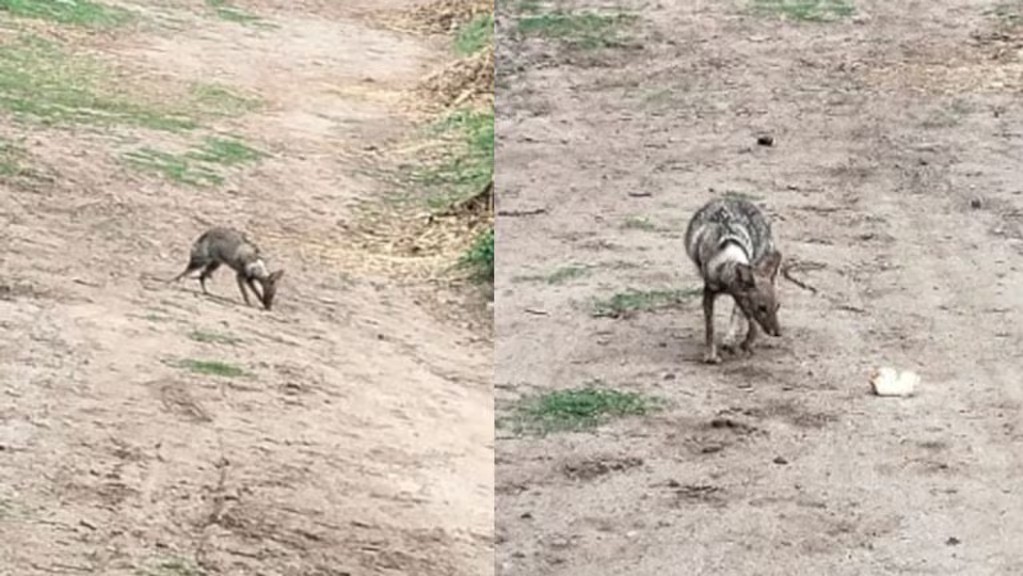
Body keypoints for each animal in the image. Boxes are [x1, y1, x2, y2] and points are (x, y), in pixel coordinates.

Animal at [684, 196, 782, 364]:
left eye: (777, 307)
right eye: (762, 308)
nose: (778, 333)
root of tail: (734, 198)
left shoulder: (742, 299)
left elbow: (750, 324)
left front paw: (745, 344)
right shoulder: (709, 293)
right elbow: (710, 328)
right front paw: (711, 355)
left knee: (739, 317)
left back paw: (733, 340)